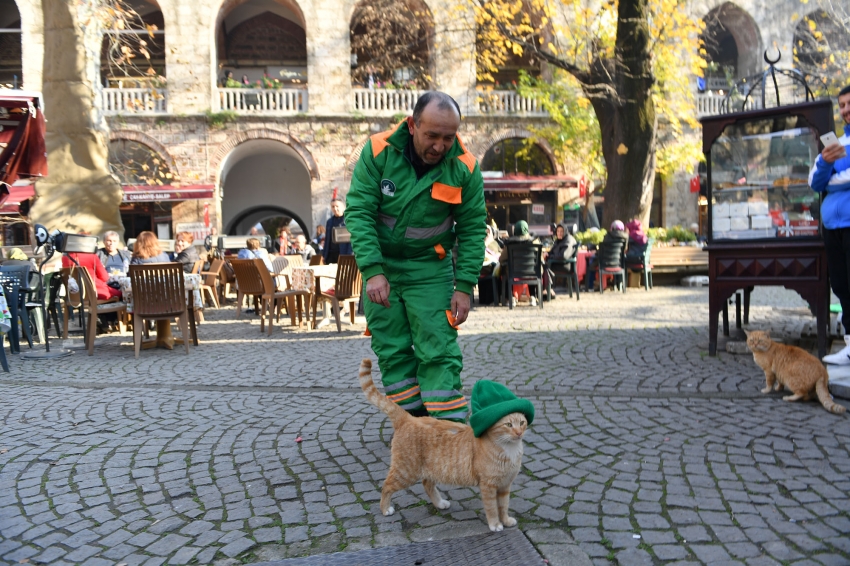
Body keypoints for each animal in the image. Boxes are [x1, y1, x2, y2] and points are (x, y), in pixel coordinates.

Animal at [360, 362, 532, 536]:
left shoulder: (505, 485)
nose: (519, 433)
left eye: (522, 422)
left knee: (427, 484)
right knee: (386, 486)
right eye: (508, 425)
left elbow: (503, 506)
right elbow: (492, 508)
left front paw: (506, 520)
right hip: (406, 472)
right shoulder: (488, 486)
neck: (509, 449)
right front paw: (495, 524)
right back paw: (385, 508)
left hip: (431, 468)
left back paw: (439, 503)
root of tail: (409, 418)